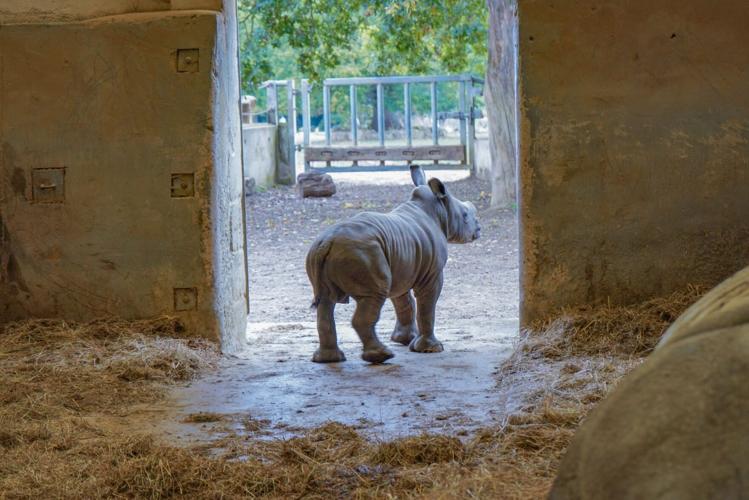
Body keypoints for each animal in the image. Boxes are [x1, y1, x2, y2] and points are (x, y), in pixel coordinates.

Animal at [305, 165, 481, 364]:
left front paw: (405, 340)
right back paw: (382, 356)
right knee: (372, 297)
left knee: (326, 302)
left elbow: (404, 302)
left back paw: (329, 359)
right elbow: (426, 306)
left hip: (324, 253)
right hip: (362, 253)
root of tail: (328, 242)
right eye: (465, 215)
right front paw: (431, 349)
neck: (439, 210)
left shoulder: (402, 266)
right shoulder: (432, 274)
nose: (479, 229)